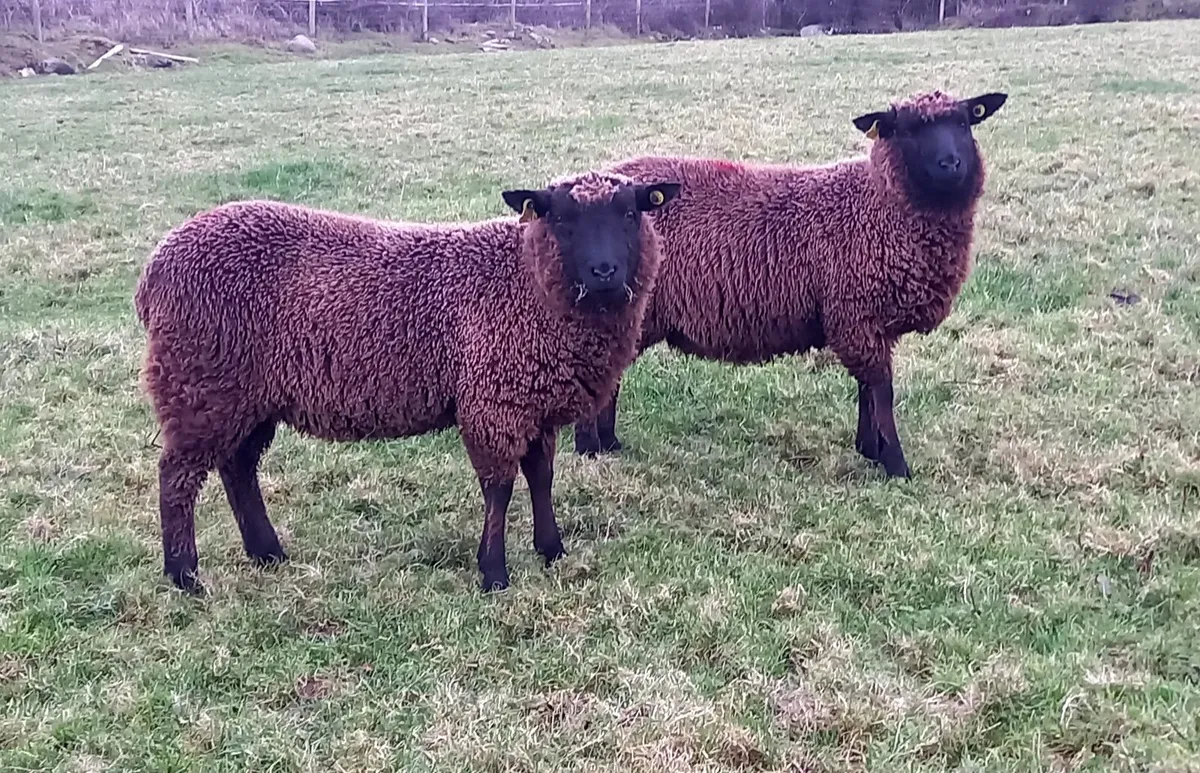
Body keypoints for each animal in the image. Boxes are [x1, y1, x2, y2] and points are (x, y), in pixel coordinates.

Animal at [133, 170, 681, 594]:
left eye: (631, 213)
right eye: (563, 220)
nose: (605, 271)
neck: (526, 284)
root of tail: (154, 270)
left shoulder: (533, 401)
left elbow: (541, 476)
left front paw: (552, 549)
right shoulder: (492, 398)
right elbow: (499, 488)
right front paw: (494, 573)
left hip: (244, 394)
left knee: (237, 468)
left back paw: (266, 552)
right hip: (200, 381)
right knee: (177, 476)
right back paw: (184, 575)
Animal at [573, 89, 1008, 479]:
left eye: (965, 122)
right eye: (908, 129)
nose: (951, 164)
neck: (878, 206)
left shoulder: (865, 321)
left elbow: (867, 390)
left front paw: (869, 448)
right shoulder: (856, 313)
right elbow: (882, 391)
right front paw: (896, 465)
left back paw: (608, 444)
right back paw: (589, 447)